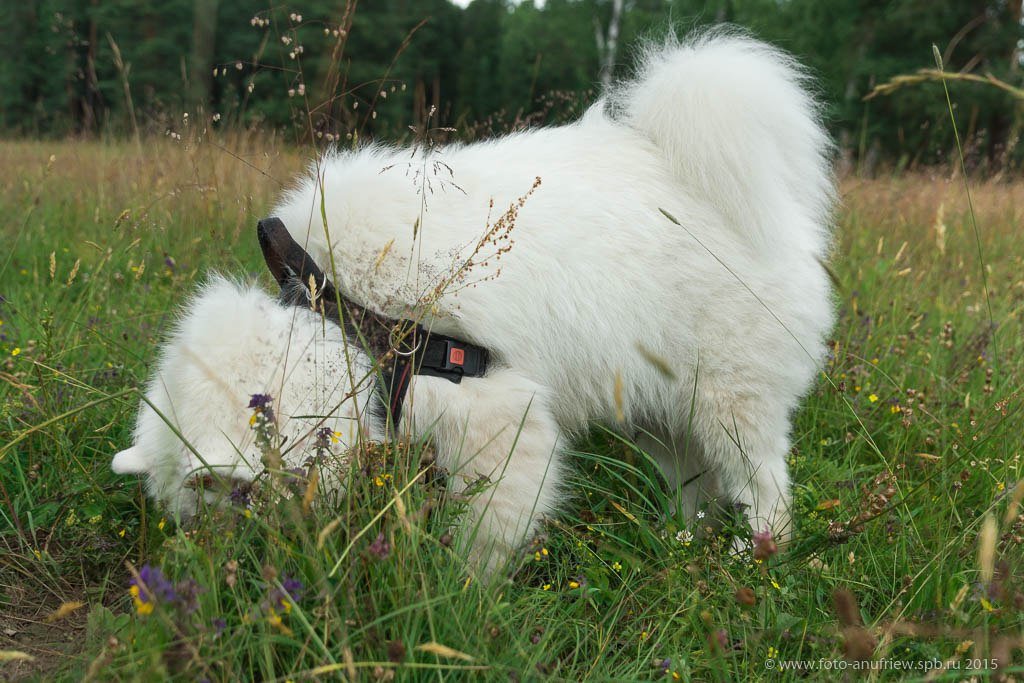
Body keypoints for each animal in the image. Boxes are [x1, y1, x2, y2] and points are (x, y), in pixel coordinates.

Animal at [112, 30, 831, 565]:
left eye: (228, 507)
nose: (223, 567)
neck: (339, 320)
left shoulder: (499, 422)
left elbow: (482, 535)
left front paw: (465, 592)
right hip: (657, 410)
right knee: (696, 483)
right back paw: (681, 541)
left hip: (727, 401)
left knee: (766, 481)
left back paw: (756, 550)